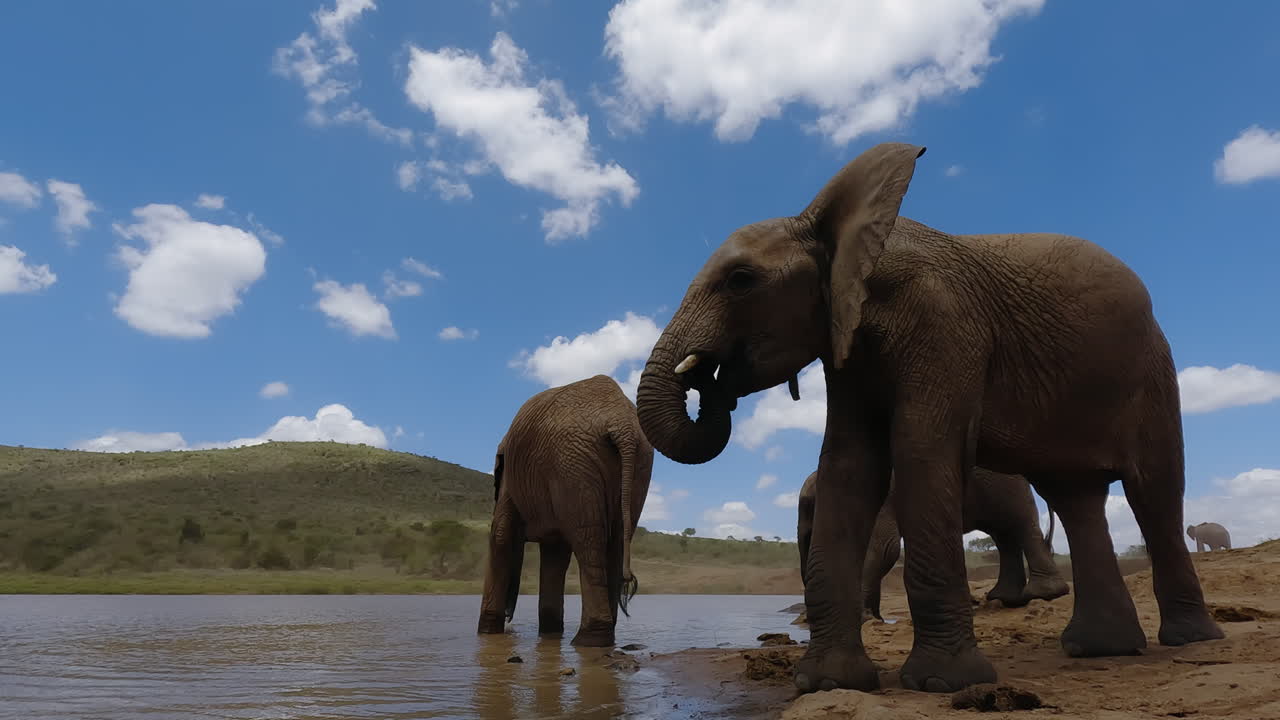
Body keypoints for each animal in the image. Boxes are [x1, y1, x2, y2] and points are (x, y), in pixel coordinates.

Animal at [477, 375, 653, 647]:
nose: (509, 619)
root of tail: (622, 423)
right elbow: (555, 552)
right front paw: (549, 634)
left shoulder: (510, 482)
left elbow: (501, 535)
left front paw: (487, 633)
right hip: (633, 464)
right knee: (615, 542)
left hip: (572, 462)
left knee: (588, 542)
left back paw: (588, 640)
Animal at [797, 468, 1069, 623]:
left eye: (811, 506)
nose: (807, 620)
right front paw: (874, 619)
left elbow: (884, 548)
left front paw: (864, 620)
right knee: (1005, 535)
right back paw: (1005, 598)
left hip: (1006, 485)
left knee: (1019, 525)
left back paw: (1043, 594)